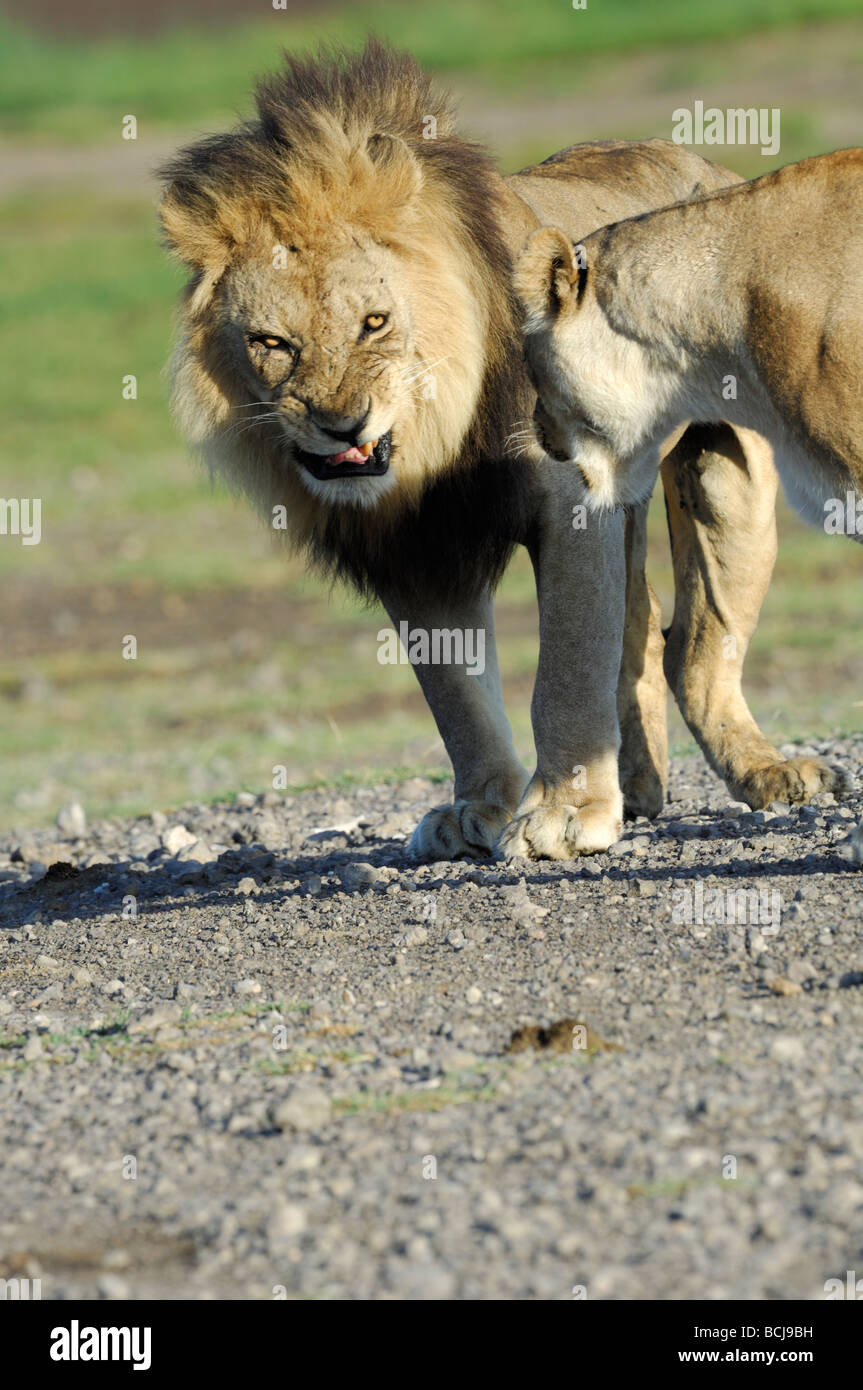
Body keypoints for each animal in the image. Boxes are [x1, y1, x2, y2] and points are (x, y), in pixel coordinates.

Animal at [158, 41, 840, 861]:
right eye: (271, 343)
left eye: (374, 321)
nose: (342, 425)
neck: (430, 443)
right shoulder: (415, 549)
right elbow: (456, 695)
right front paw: (480, 806)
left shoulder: (575, 500)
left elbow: (567, 666)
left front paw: (566, 815)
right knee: (642, 632)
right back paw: (638, 787)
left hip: (726, 477)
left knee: (697, 649)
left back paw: (769, 775)